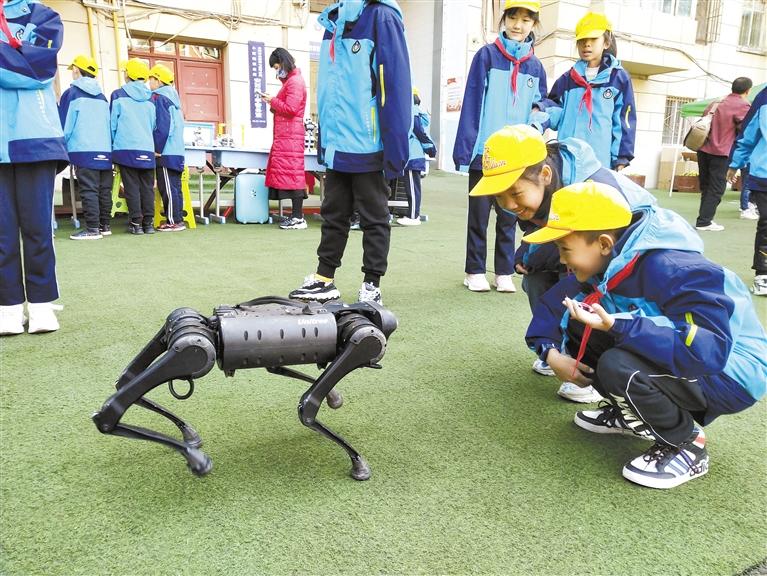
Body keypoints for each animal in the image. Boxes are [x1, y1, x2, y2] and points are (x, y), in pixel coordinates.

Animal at [91, 300, 396, 480]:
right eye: (373, 340)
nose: (385, 325)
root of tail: (194, 327)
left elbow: (289, 379)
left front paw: (334, 396)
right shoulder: (361, 340)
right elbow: (308, 406)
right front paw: (358, 462)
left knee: (126, 378)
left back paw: (188, 435)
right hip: (194, 349)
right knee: (109, 412)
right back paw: (194, 456)